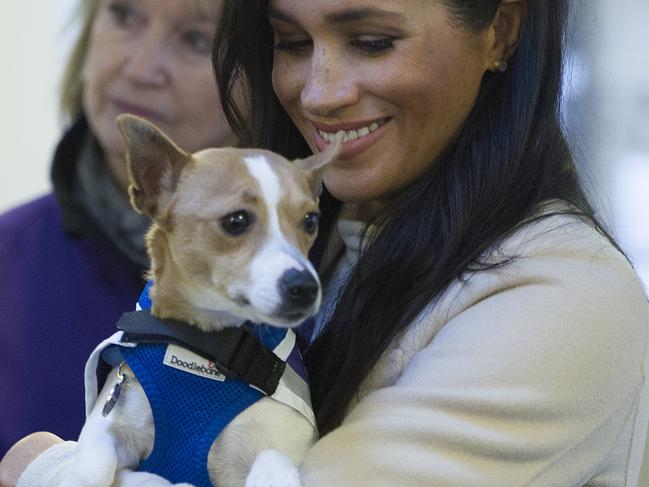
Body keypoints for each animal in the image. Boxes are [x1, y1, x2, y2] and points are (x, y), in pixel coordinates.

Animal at [58, 115, 342, 487]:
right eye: (236, 221)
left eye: (310, 221)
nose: (305, 286)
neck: (207, 345)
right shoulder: (108, 426)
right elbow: (92, 466)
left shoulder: (282, 444)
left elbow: (274, 458)